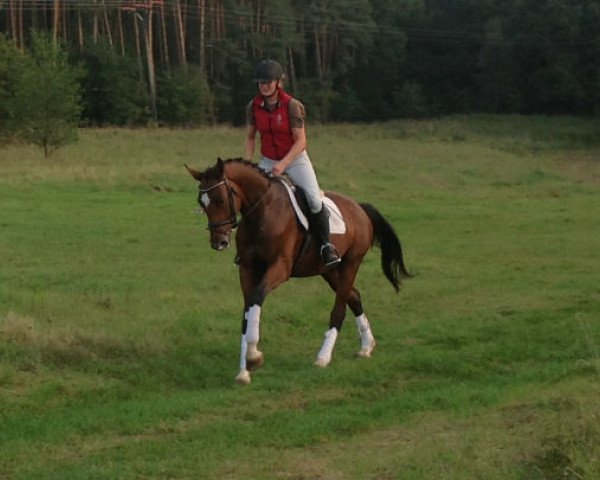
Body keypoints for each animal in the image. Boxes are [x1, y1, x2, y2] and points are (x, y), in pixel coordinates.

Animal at [188, 158, 412, 386]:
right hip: (328, 270)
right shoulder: (247, 270)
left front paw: (253, 357)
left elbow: (257, 297)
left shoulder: (279, 268)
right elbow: (247, 311)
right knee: (354, 296)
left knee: (339, 308)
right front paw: (244, 370)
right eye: (201, 203)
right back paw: (367, 346)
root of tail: (359, 208)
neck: (262, 212)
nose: (219, 242)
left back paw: (323, 357)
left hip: (351, 263)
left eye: (220, 200)